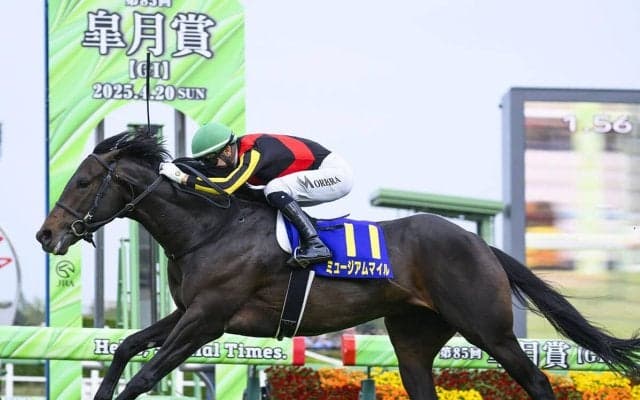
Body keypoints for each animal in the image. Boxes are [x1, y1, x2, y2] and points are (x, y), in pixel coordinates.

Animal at [36, 131, 640, 400]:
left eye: (83, 182)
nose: (46, 235)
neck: (208, 229)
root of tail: (480, 245)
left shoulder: (208, 318)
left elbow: (147, 373)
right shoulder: (190, 311)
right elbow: (127, 348)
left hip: (487, 329)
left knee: (536, 379)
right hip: (413, 338)